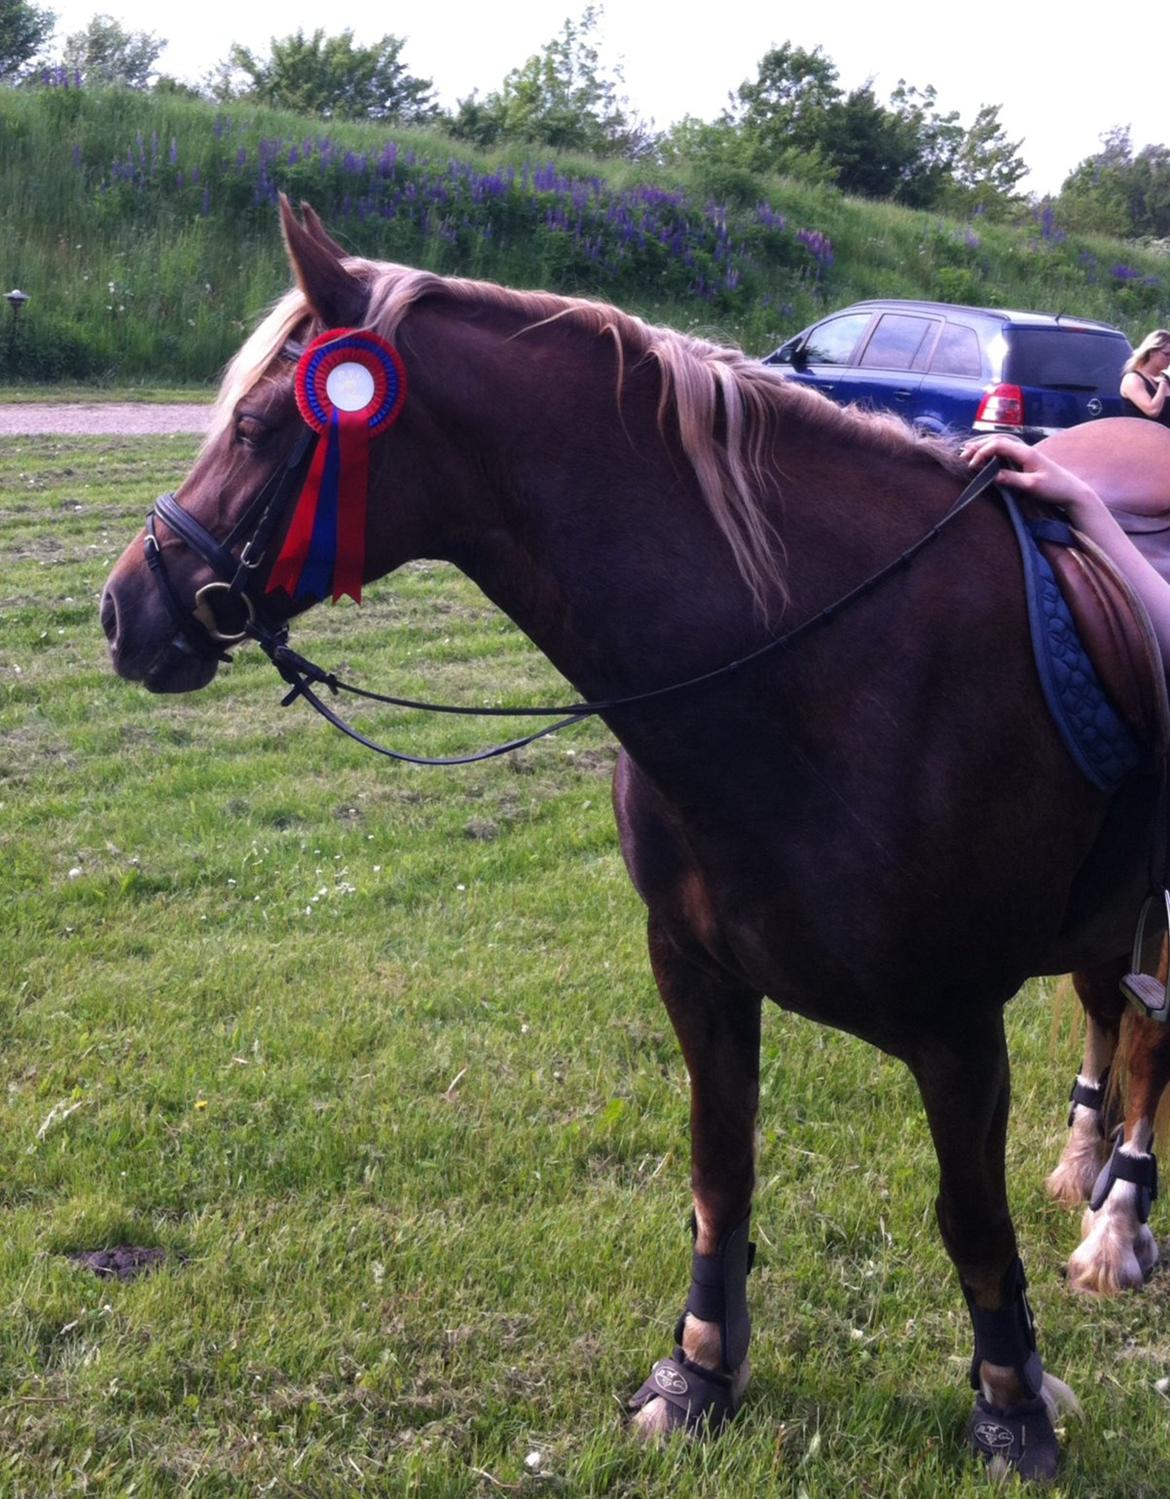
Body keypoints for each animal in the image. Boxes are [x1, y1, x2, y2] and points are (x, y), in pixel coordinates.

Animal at [100, 205, 1156, 1481]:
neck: (826, 664)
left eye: (258, 429)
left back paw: (1119, 1220)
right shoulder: (696, 972)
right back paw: (1087, 1164)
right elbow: (721, 1173)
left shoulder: (958, 1024)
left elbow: (970, 1220)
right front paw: (702, 1368)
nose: (124, 609)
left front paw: (1013, 1404)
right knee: (1111, 1018)